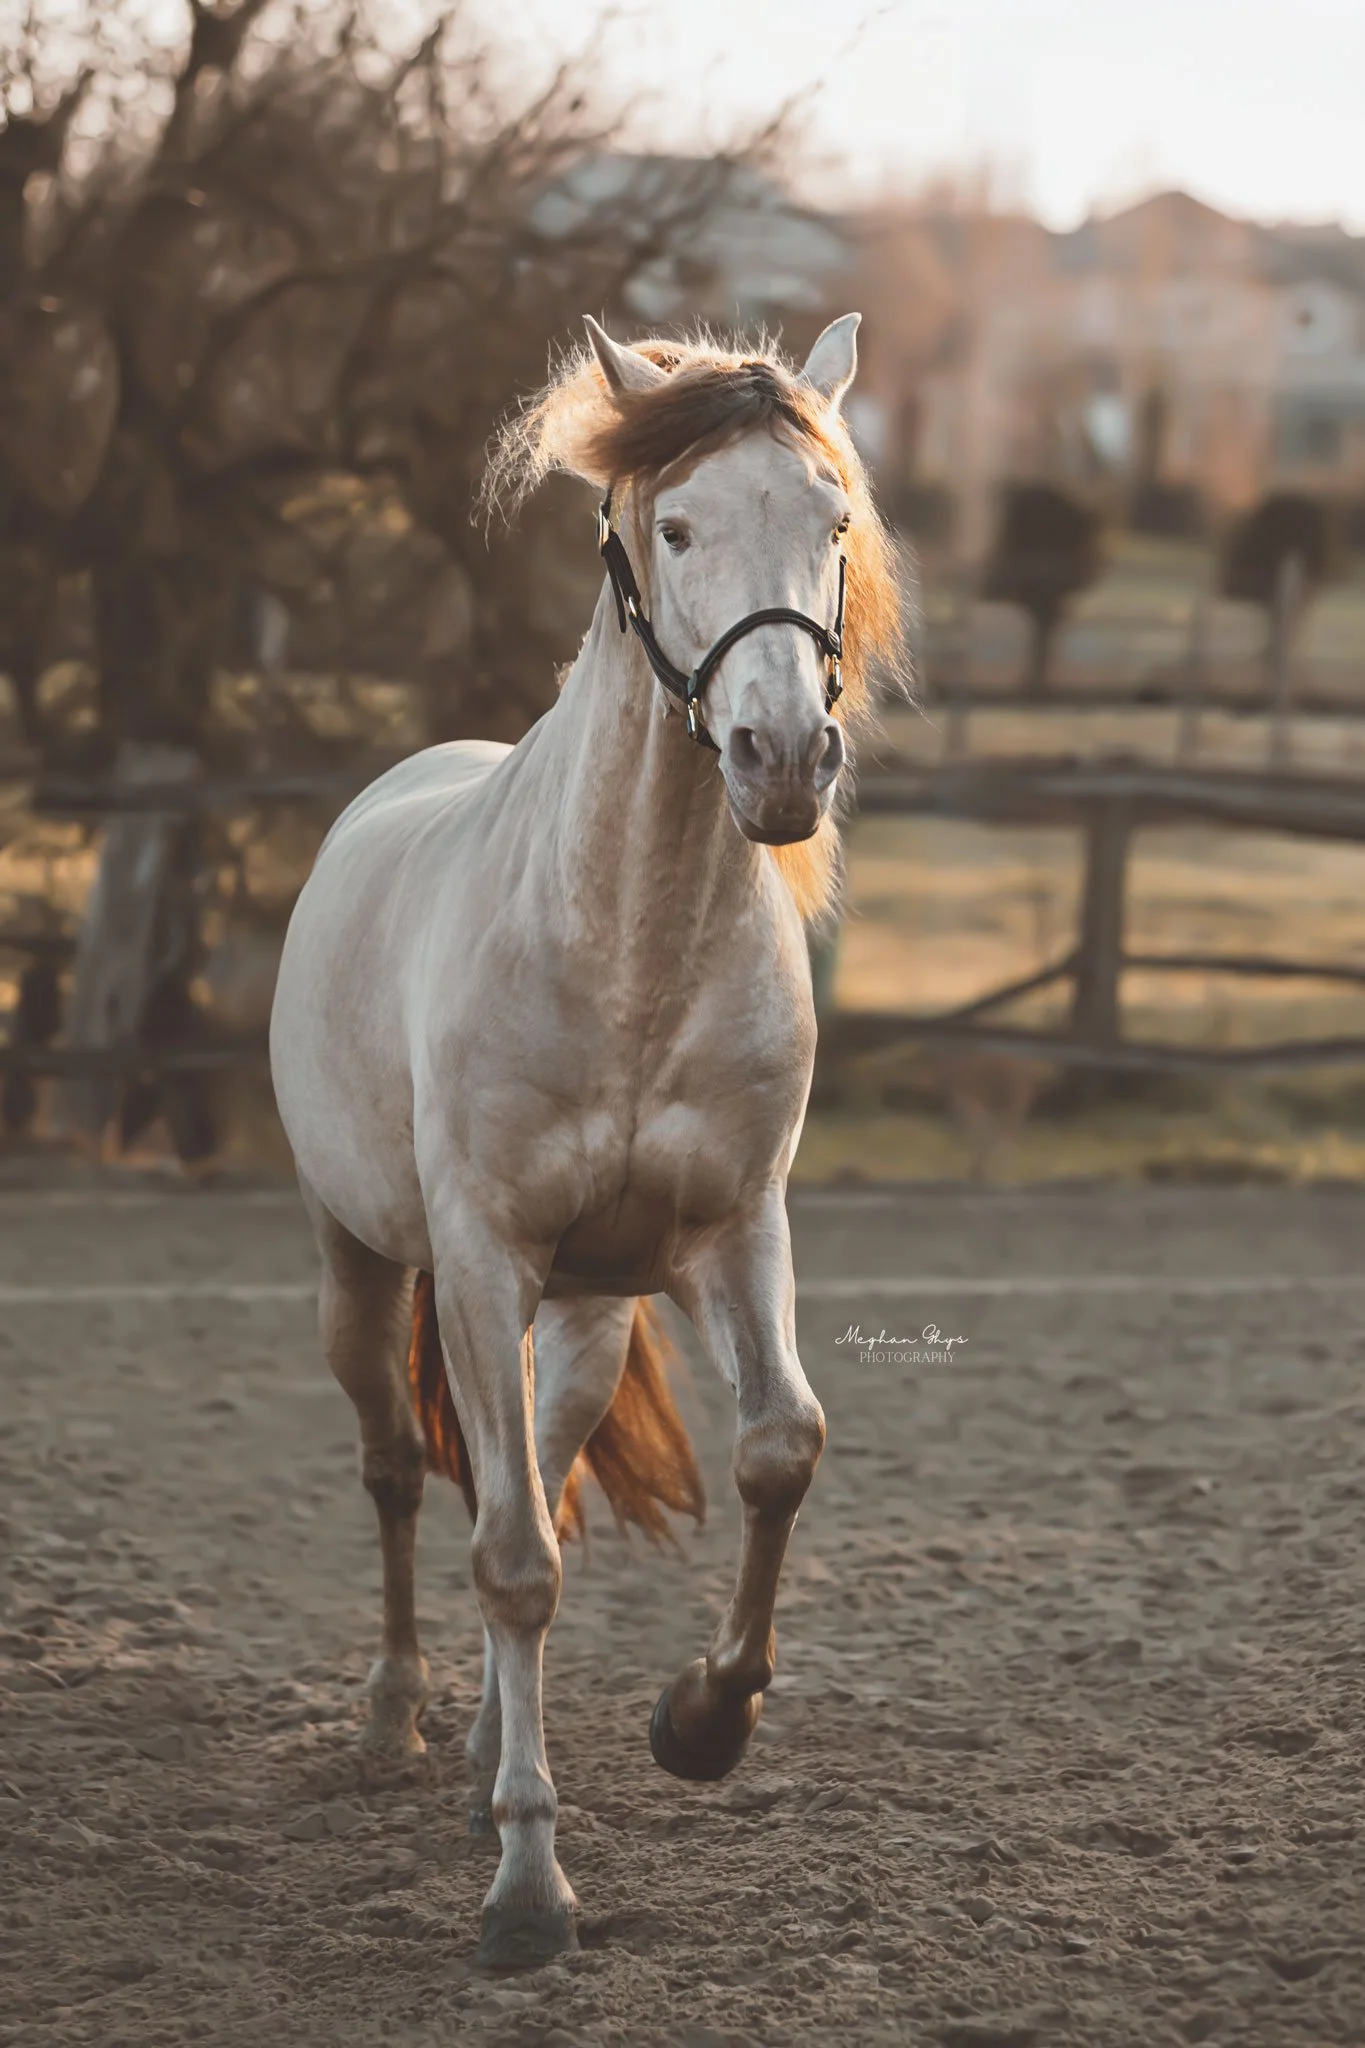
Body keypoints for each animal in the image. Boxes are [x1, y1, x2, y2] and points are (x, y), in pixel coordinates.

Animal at [268, 311, 903, 1968]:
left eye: (833, 522)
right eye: (672, 526)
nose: (783, 759)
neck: (627, 948)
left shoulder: (729, 1236)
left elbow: (777, 1449)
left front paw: (702, 1723)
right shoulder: (485, 1257)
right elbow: (503, 1559)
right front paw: (527, 1894)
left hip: (587, 1318)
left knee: (536, 1474)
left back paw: (492, 1746)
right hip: (367, 1267)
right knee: (400, 1474)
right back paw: (398, 1722)